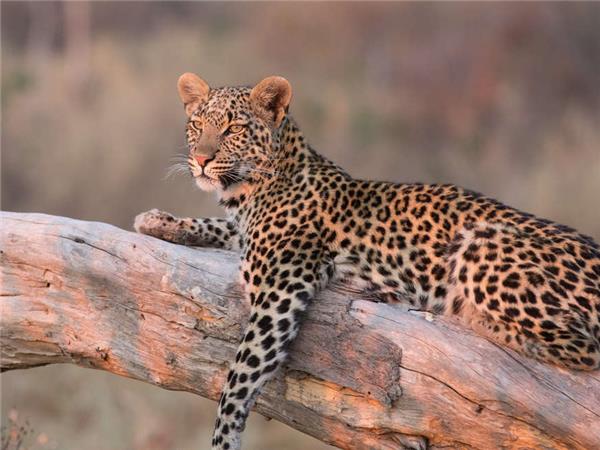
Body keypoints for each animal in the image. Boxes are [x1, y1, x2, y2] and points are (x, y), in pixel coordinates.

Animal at [135, 72, 600, 448]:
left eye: (232, 128)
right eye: (197, 125)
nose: (201, 160)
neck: (251, 190)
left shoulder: (279, 291)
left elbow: (240, 373)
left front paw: (224, 437)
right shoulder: (246, 236)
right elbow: (219, 226)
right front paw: (158, 220)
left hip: (479, 243)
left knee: (582, 346)